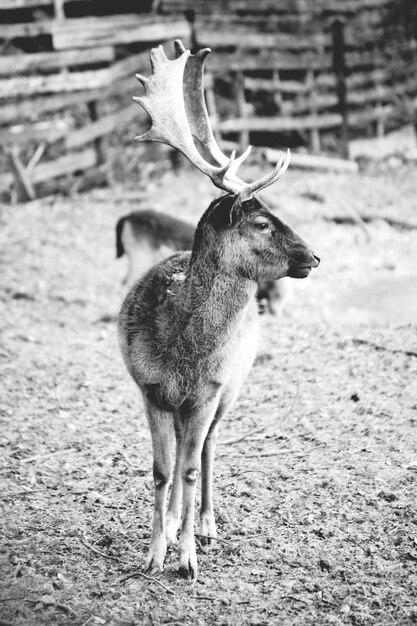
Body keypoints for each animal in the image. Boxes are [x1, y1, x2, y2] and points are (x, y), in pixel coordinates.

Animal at [118, 39, 320, 576]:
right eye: (263, 223)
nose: (314, 256)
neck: (181, 349)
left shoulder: (208, 390)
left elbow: (189, 468)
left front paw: (187, 557)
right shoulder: (151, 389)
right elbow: (161, 470)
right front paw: (155, 552)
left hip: (234, 385)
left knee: (207, 448)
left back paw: (206, 524)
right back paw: (175, 523)